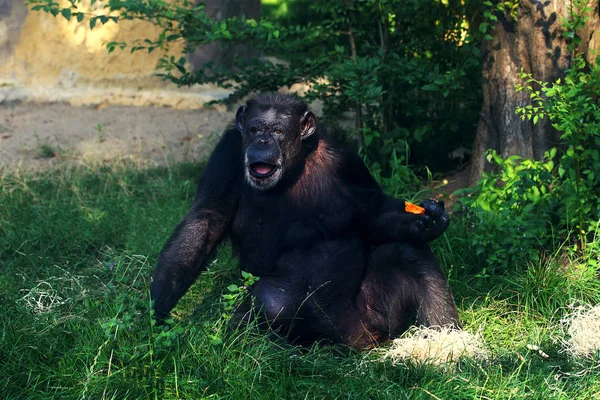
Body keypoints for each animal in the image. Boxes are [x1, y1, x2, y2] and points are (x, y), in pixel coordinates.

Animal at [151, 93, 460, 346]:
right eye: (254, 129)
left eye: (277, 130)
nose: (262, 141)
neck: (293, 166)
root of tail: (354, 342)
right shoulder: (225, 153)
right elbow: (205, 221)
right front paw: (154, 316)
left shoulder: (348, 160)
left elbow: (372, 214)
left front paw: (429, 222)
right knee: (271, 299)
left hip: (374, 318)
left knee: (407, 252)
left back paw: (449, 346)